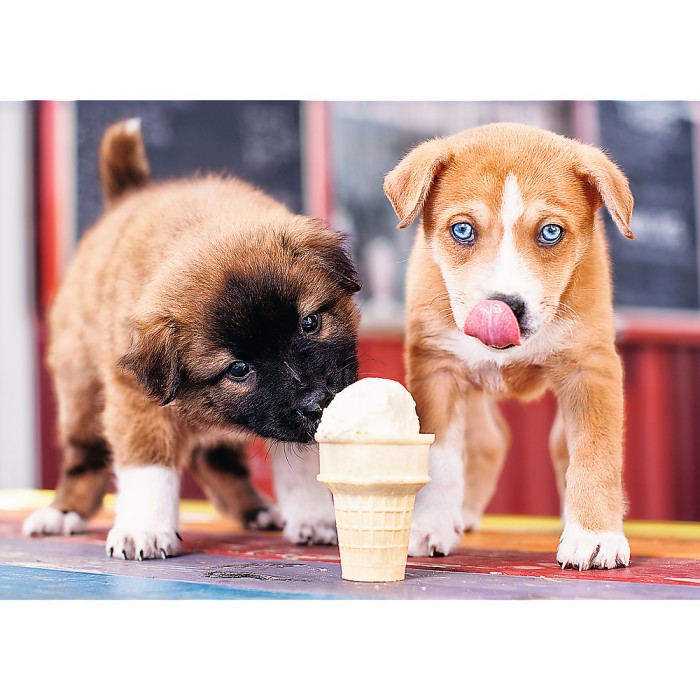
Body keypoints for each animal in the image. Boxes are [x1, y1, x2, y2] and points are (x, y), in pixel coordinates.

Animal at [23, 119, 360, 556]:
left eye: (309, 323)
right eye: (238, 369)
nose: (319, 401)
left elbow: (304, 461)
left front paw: (313, 516)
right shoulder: (136, 400)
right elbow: (147, 464)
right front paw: (144, 529)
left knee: (217, 460)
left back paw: (257, 510)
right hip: (79, 392)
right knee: (86, 459)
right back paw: (62, 513)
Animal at [382, 120, 636, 568]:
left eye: (550, 232)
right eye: (462, 230)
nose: (503, 307)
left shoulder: (591, 367)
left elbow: (594, 453)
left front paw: (594, 534)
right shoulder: (437, 368)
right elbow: (439, 456)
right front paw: (429, 525)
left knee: (551, 447)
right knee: (488, 442)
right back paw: (461, 514)